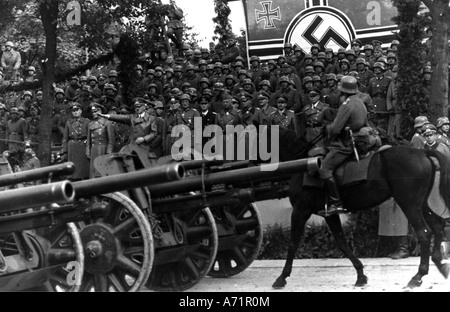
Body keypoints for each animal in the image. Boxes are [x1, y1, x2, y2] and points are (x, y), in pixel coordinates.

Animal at [268, 126, 450, 288]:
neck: (302, 165)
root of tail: (422, 152)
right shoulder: (330, 214)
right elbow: (342, 243)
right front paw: (361, 275)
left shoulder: (300, 211)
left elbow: (292, 244)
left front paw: (281, 278)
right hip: (420, 204)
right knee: (437, 225)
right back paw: (439, 264)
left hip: (408, 204)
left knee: (424, 233)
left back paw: (418, 276)